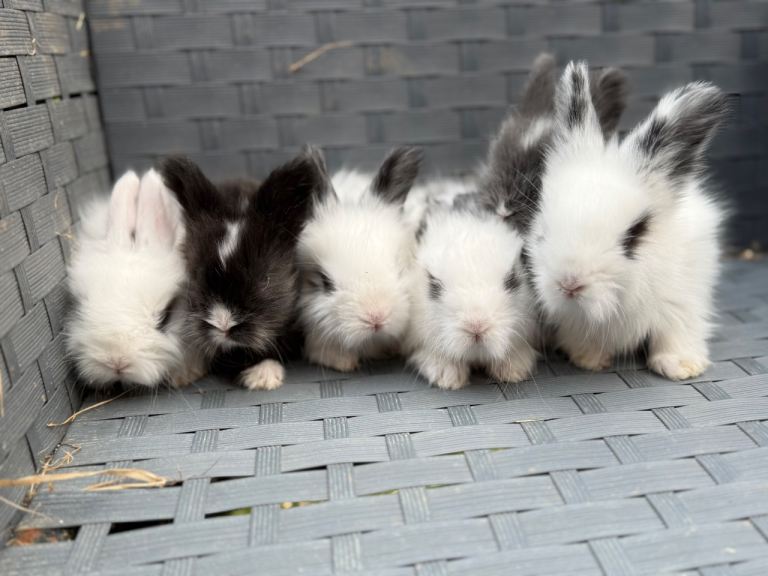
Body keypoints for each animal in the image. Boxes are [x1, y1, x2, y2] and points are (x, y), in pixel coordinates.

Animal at [528, 61, 728, 380]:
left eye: (636, 233)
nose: (569, 285)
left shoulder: (682, 304)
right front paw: (588, 360)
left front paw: (681, 368)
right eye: (543, 231)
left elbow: (675, 334)